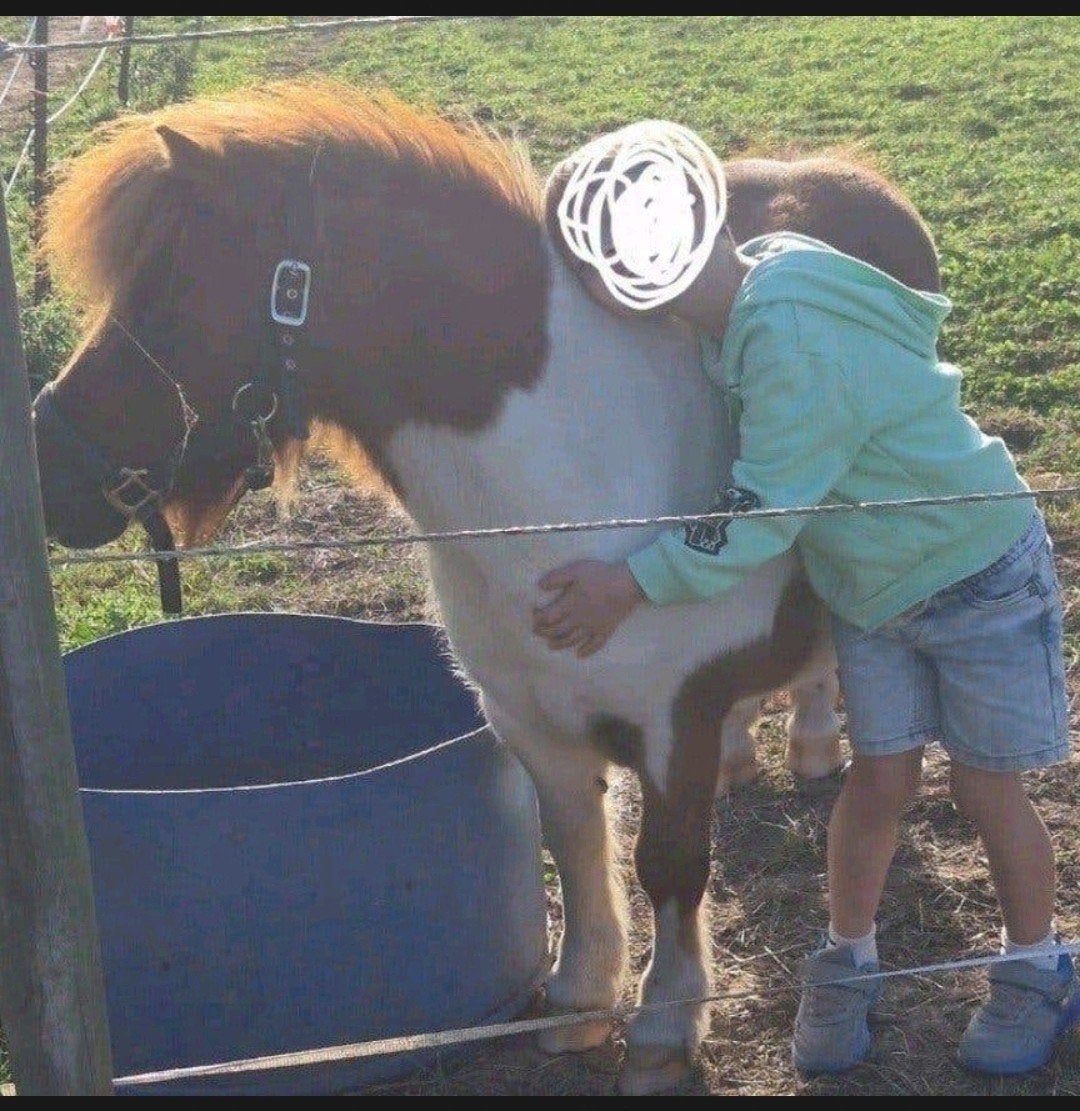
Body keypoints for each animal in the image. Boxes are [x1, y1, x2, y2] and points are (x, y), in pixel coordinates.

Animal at [31, 80, 941, 1095]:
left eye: (170, 295)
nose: (45, 466)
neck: (562, 473)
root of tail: (825, 169)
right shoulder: (531, 721)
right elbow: (575, 847)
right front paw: (581, 1002)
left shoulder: (672, 722)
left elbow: (666, 866)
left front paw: (664, 1031)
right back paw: (752, 753)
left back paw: (816, 744)